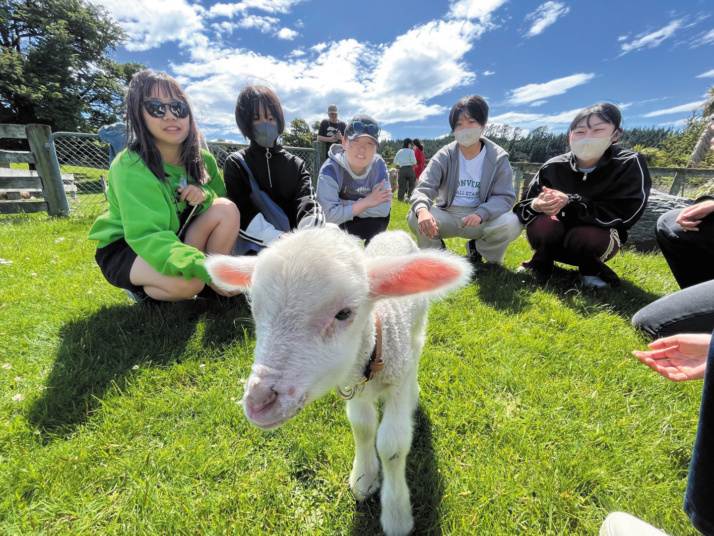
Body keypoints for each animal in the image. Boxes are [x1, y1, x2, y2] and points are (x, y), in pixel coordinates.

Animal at [206, 226, 470, 536]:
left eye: (344, 314)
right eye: (255, 309)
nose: (259, 402)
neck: (374, 346)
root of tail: (393, 231)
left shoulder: (396, 379)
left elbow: (392, 445)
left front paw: (397, 515)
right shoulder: (354, 385)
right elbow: (362, 427)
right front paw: (364, 478)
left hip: (417, 326)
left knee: (417, 347)